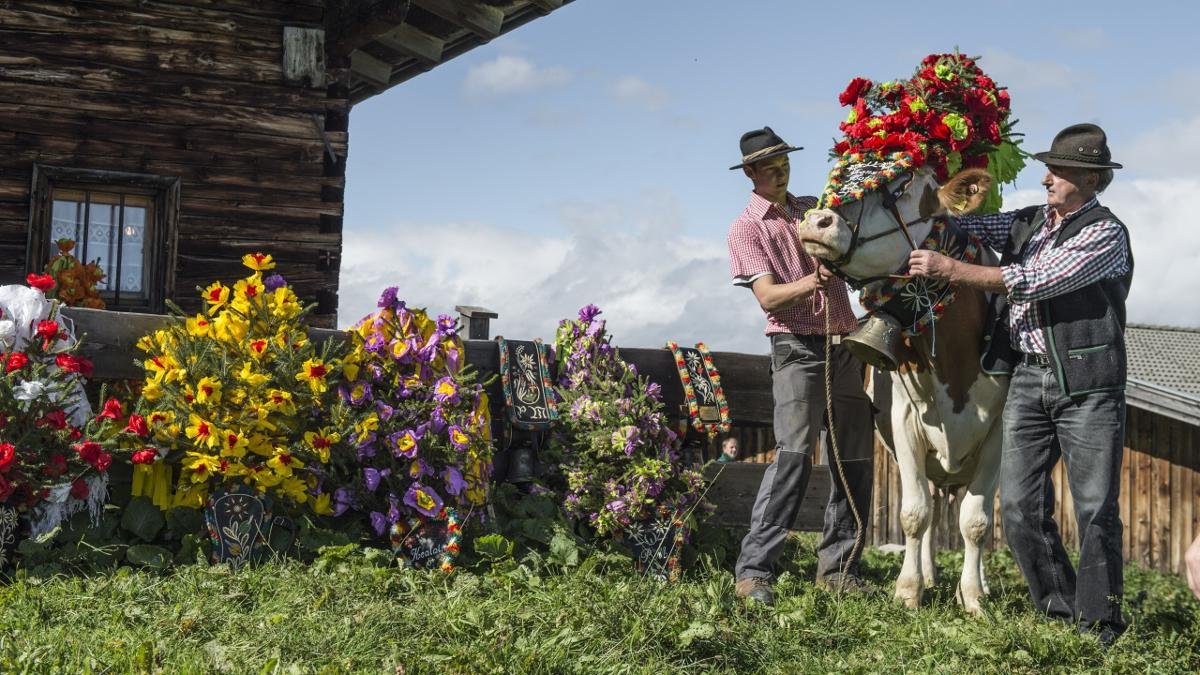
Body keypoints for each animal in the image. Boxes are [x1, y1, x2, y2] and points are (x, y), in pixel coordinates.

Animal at [801, 165, 1008, 612]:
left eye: (901, 187)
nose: (816, 221)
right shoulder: (905, 422)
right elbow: (914, 514)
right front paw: (908, 590)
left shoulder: (998, 433)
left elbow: (977, 522)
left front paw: (973, 599)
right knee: (931, 508)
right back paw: (929, 575)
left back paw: (980, 584)